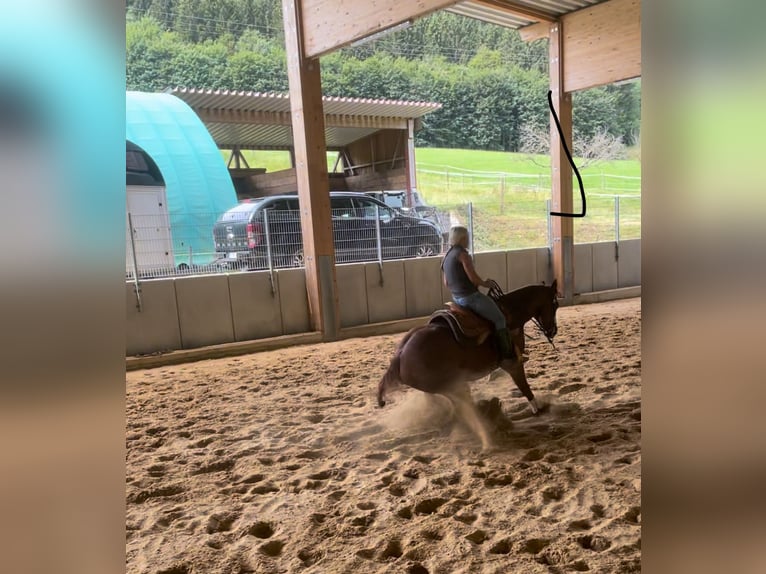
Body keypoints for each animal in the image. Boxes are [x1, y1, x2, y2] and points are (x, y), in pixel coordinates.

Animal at [380, 282, 564, 452]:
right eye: (555, 304)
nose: (553, 331)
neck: (511, 314)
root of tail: (400, 355)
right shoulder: (513, 364)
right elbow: (524, 387)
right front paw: (538, 409)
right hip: (451, 385)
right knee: (462, 407)